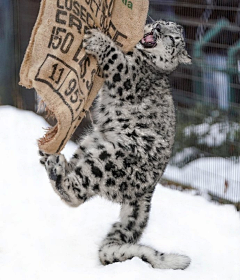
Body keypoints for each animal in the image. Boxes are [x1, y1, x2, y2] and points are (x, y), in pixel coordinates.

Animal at [40, 19, 192, 270]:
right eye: (163, 24)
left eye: (172, 38)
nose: (157, 29)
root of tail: (149, 189)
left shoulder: (131, 78)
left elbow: (116, 59)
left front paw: (98, 39)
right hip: (91, 143)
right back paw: (51, 158)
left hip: (112, 160)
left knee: (76, 195)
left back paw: (56, 167)